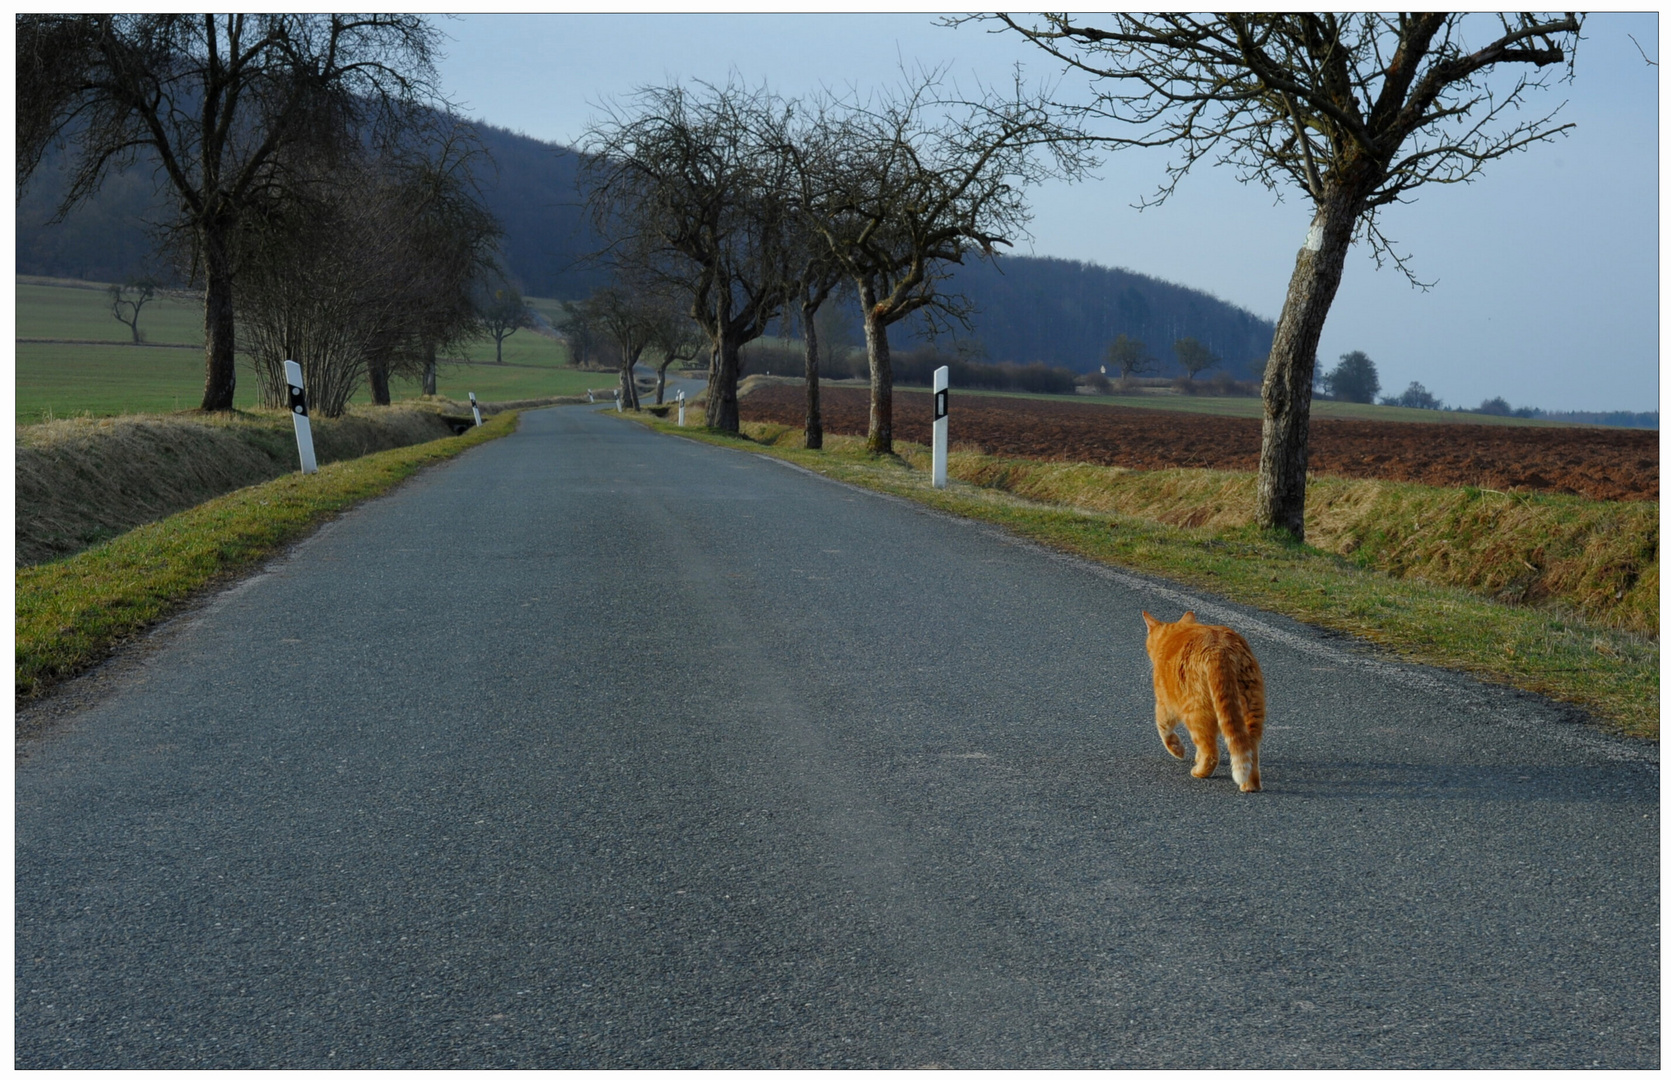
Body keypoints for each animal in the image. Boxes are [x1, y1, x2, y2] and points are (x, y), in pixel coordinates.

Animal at [1149, 608, 1263, 795]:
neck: (1174, 635)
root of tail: (1220, 648)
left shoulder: (1165, 704)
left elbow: (1163, 729)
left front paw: (1178, 750)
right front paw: (1196, 756)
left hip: (1196, 713)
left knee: (1211, 752)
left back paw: (1200, 772)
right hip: (1250, 705)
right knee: (1249, 748)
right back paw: (1250, 786)